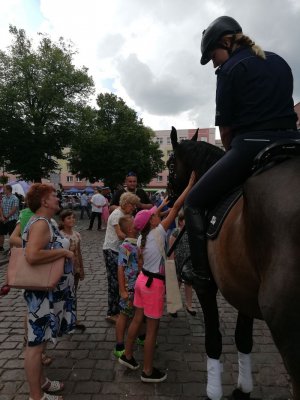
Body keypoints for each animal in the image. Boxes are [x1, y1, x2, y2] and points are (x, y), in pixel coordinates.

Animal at [169, 126, 300, 398]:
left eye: (170, 164)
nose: (169, 197)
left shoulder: (206, 287)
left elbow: (213, 340)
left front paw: (213, 391)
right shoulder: (243, 288)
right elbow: (243, 338)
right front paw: (243, 388)